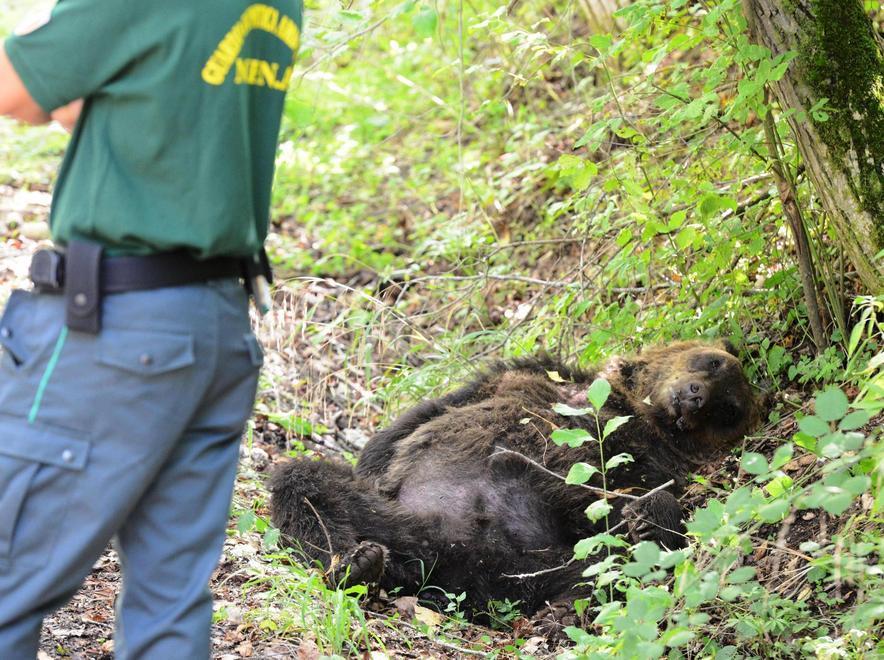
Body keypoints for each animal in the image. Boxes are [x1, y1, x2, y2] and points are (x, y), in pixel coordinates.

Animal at [269, 340, 761, 631]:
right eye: (711, 362)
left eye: (729, 409)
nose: (697, 397)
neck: (628, 409)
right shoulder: (525, 376)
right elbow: (417, 419)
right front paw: (374, 461)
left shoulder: (647, 458)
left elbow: (640, 498)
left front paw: (647, 514)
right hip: (394, 520)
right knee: (305, 483)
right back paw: (355, 563)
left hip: (542, 565)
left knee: (610, 568)